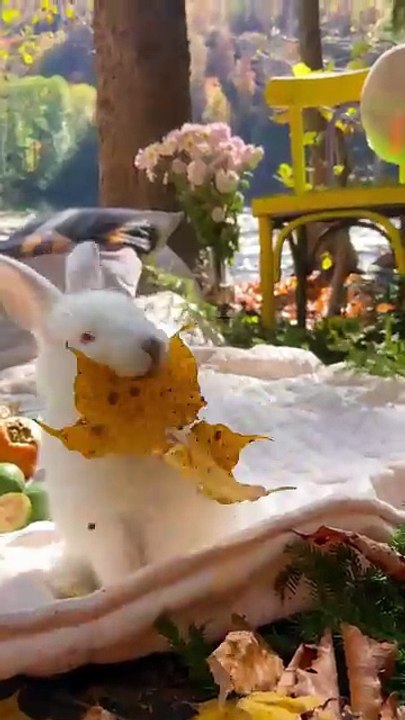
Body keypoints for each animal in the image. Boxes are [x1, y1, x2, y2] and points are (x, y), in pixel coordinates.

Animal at [0, 241, 243, 592]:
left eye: (136, 313)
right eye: (87, 337)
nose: (152, 345)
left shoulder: (166, 516)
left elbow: (162, 557)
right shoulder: (105, 525)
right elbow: (119, 569)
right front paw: (124, 590)